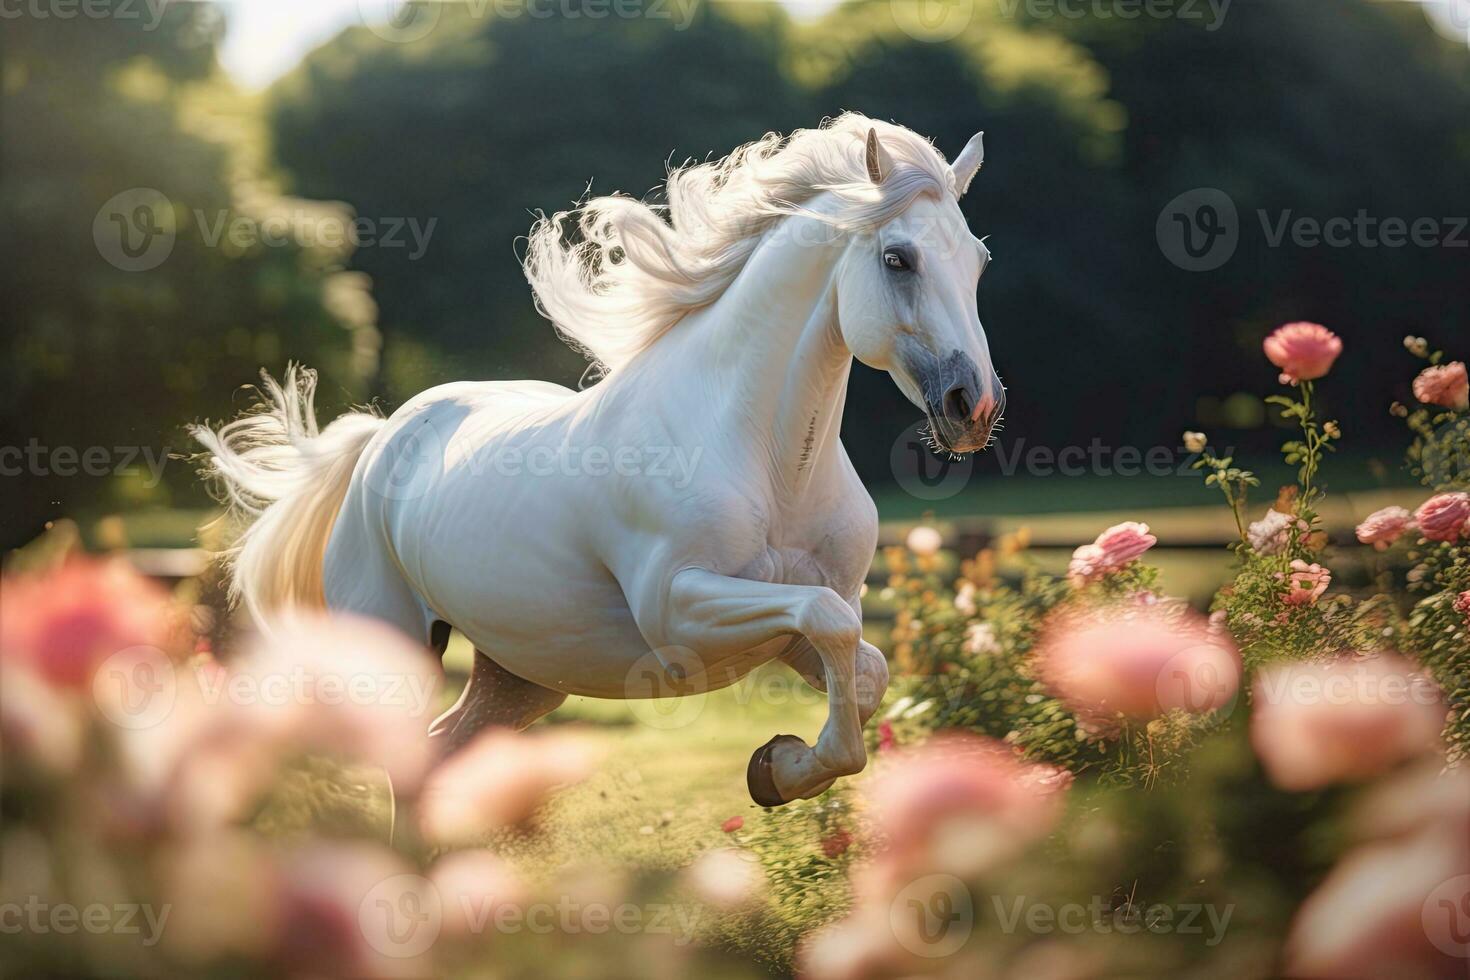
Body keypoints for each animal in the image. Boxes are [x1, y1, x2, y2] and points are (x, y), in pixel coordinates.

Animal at [192, 115, 999, 805]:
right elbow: (827, 623)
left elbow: (863, 671)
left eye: (978, 260)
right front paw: (774, 769)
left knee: (440, 751)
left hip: (520, 675)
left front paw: (777, 767)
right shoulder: (679, 613)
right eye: (898, 258)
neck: (769, 461)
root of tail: (382, 439)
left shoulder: (806, 621)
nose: (974, 406)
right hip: (392, 655)